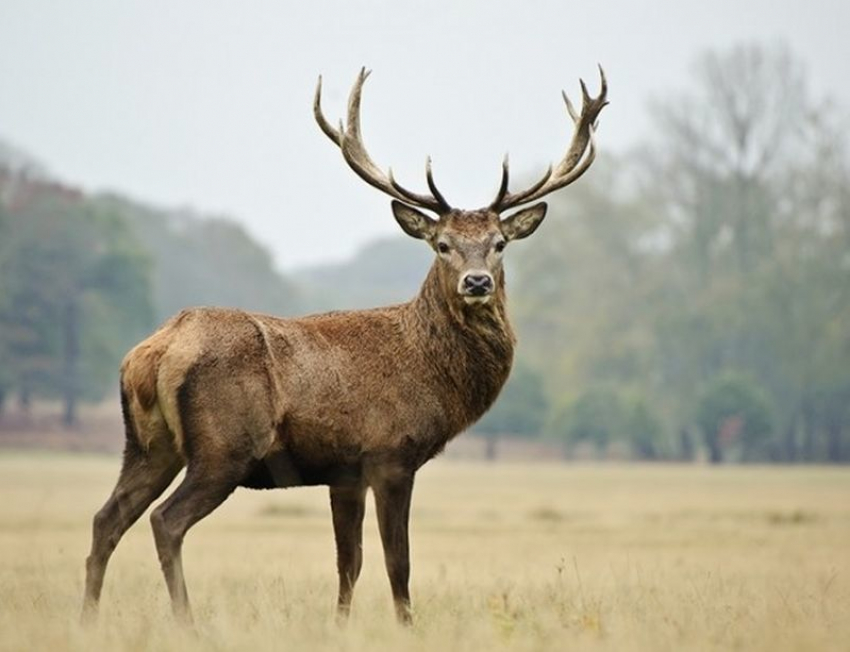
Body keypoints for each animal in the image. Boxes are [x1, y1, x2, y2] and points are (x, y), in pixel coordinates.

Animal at [83, 66, 608, 628]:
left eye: (500, 244)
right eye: (441, 244)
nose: (477, 282)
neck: (431, 374)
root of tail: (153, 352)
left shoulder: (345, 472)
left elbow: (348, 562)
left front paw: (340, 626)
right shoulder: (391, 453)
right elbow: (398, 562)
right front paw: (407, 627)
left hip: (147, 444)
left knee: (106, 518)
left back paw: (88, 617)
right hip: (223, 447)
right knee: (166, 521)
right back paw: (187, 622)